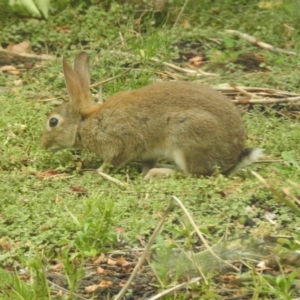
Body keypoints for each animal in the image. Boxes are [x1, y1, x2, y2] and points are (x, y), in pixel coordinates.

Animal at [41, 51, 262, 178]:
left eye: (53, 122)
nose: (44, 145)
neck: (86, 121)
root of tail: (233, 159)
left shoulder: (119, 143)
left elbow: (113, 161)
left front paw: (100, 172)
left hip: (185, 138)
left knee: (190, 175)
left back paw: (158, 173)